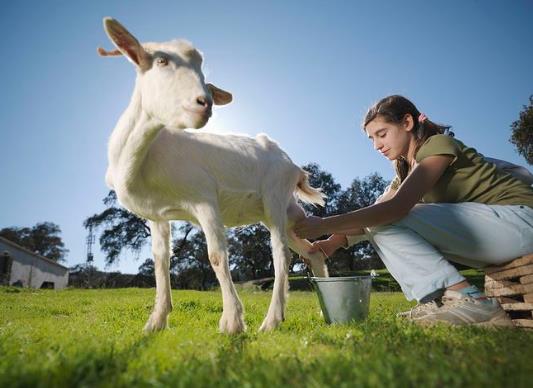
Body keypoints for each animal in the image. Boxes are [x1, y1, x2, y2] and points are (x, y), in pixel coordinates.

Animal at [97, 18, 326, 334]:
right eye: (161, 60)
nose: (203, 103)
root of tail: (292, 164)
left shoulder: (204, 199)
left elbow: (216, 256)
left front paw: (232, 321)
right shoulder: (157, 216)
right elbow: (160, 261)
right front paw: (155, 321)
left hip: (275, 198)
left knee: (282, 255)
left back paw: (271, 320)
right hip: (283, 213)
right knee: (312, 250)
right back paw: (323, 310)